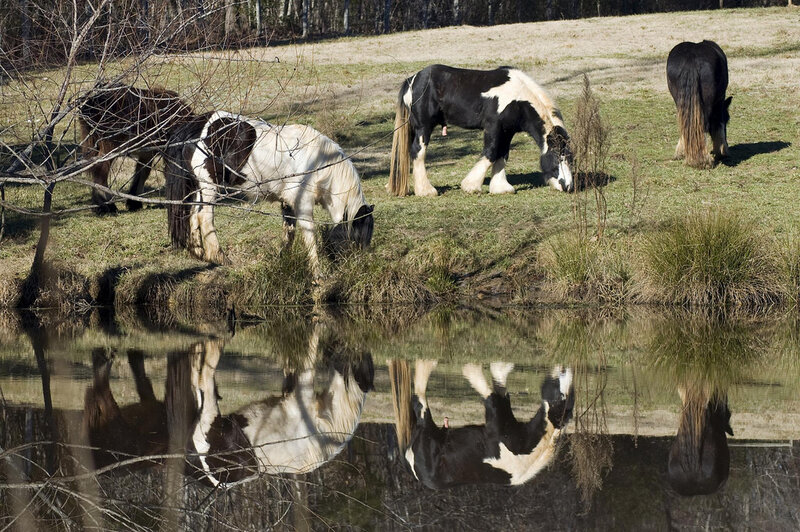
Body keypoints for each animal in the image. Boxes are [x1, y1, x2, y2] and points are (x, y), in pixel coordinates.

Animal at [78, 84, 195, 213]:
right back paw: (106, 205)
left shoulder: (148, 152)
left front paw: (134, 202)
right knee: (100, 168)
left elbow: (142, 172)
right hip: (110, 146)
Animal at [165, 111, 374, 275]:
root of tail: (198, 125)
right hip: (209, 188)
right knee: (205, 217)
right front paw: (317, 275)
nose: (362, 266)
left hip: (199, 188)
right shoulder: (303, 203)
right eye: (360, 234)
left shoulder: (288, 202)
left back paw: (199, 253)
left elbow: (289, 232)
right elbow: (309, 235)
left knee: (193, 214)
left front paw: (282, 259)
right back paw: (220, 257)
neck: (318, 161)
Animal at [187, 324, 374, 486]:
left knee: (203, 375)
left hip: (209, 416)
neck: (326, 430)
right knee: (203, 370)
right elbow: (307, 353)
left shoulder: (300, 391)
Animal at [388, 64, 574, 197]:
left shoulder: (507, 131)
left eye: (571, 158)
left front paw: (500, 188)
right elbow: (490, 153)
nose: (568, 186)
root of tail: (412, 80)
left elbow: (502, 155)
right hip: (423, 128)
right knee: (417, 152)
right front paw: (471, 186)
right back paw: (426, 191)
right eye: (556, 156)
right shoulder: (493, 127)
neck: (518, 99)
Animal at [395, 360, 574, 488]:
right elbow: (501, 390)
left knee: (419, 402)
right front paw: (501, 366)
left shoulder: (496, 421)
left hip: (428, 435)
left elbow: (490, 396)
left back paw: (426, 363)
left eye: (561, 394)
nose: (566, 368)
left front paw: (472, 369)